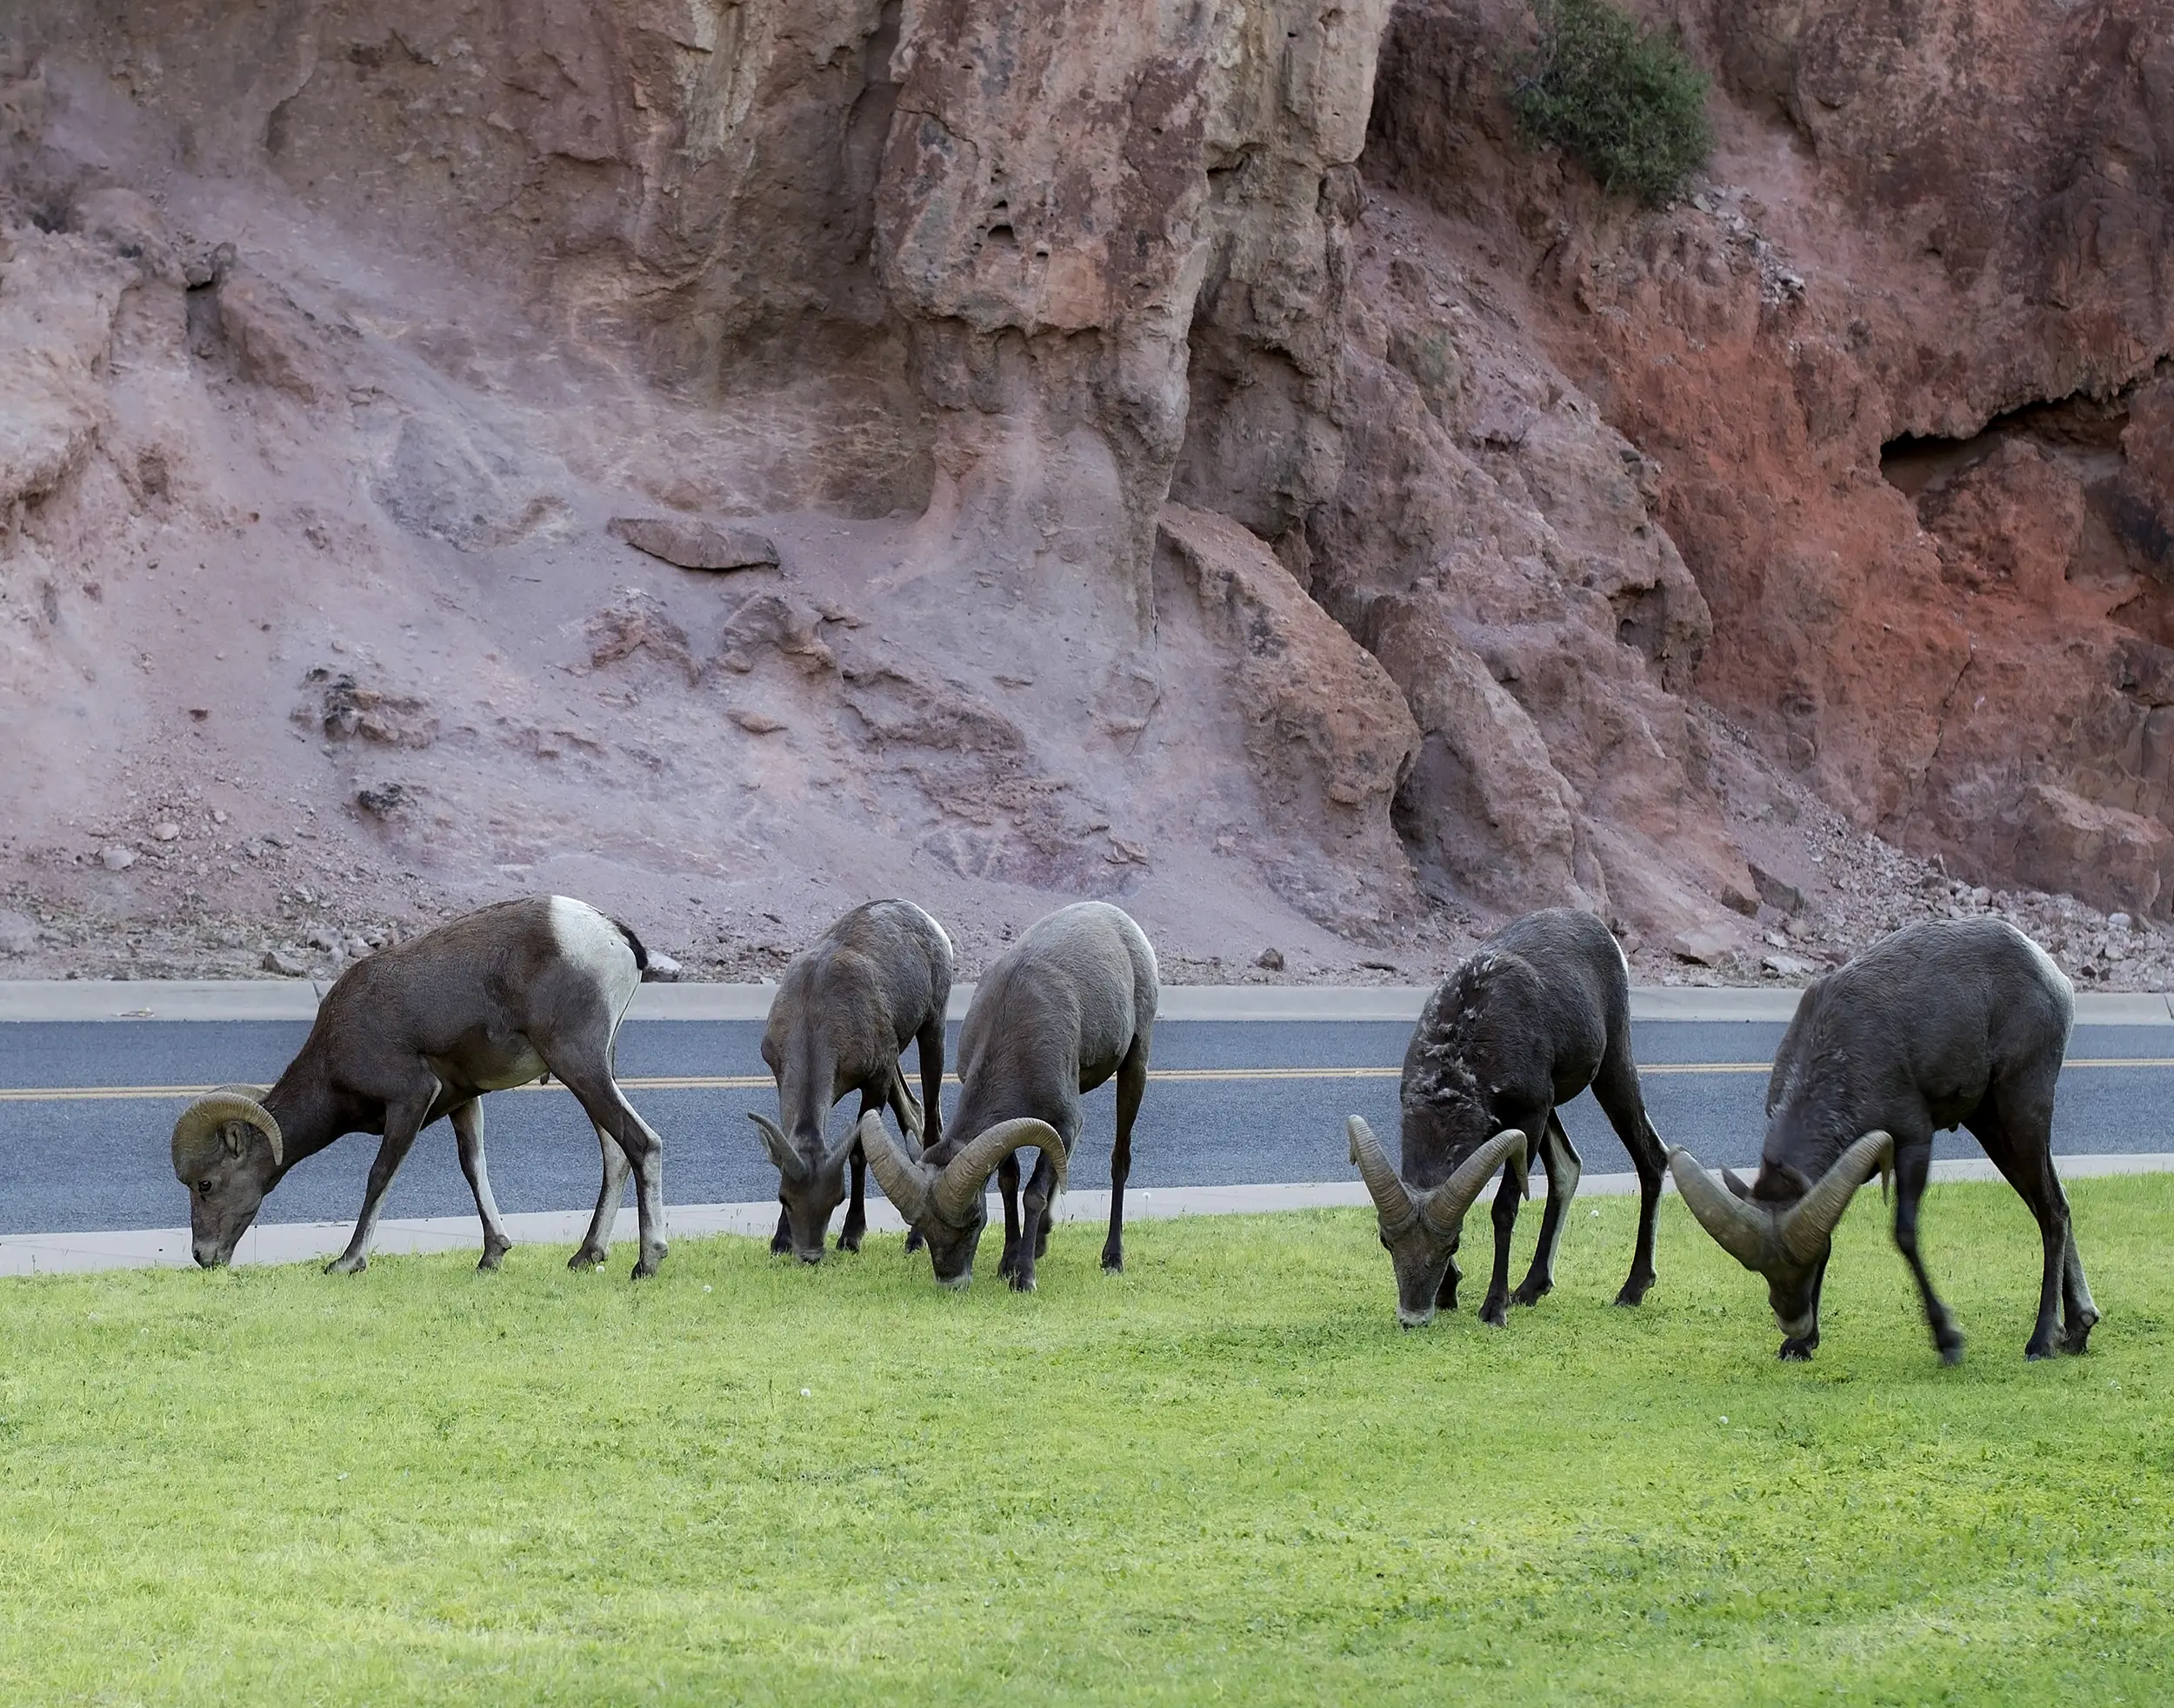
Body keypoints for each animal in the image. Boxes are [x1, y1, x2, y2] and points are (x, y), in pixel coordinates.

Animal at [169, 896, 670, 1279]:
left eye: (206, 1184)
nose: (203, 1256)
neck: (333, 1056)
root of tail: (612, 935)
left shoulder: (410, 1098)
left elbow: (379, 1176)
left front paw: (347, 1263)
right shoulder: (464, 1102)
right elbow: (473, 1169)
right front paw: (491, 1256)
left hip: (576, 1062)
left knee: (641, 1143)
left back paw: (646, 1263)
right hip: (595, 1066)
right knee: (614, 1154)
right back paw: (585, 1256)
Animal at [751, 899, 953, 1263]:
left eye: (838, 1198)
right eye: (784, 1198)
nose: (810, 1254)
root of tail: (931, 922)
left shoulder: (875, 1077)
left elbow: (860, 1153)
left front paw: (851, 1236)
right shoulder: (779, 1072)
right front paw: (779, 1241)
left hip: (932, 1025)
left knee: (932, 1125)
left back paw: (915, 1240)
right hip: (897, 1054)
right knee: (913, 1110)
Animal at [856, 900, 1156, 1292]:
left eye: (973, 1219)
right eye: (920, 1226)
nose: (951, 1282)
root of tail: (1121, 920)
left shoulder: (1065, 1122)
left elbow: (1034, 1192)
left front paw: (1024, 1276)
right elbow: (1009, 1181)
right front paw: (1007, 1264)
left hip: (1135, 1062)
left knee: (1120, 1159)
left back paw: (1112, 1259)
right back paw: (1042, 1241)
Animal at [1346, 908, 1670, 1328]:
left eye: (1454, 1243)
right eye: (1386, 1240)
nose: (1414, 1316)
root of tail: (1601, 931)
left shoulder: (1528, 1117)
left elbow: (1505, 1208)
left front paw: (1493, 1309)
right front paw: (1450, 1294)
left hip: (1611, 1069)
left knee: (1650, 1157)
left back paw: (1632, 1290)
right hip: (1555, 1109)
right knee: (1567, 1167)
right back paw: (1531, 1289)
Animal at [1668, 916, 2096, 1363]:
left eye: (1806, 1261)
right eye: (1763, 1270)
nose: (1793, 1321)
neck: (1838, 1057)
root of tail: (2052, 974)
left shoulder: (1913, 1142)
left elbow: (1905, 1234)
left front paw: (1948, 1340)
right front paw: (1801, 1345)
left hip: (2022, 1109)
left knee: (2053, 1211)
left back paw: (2042, 1341)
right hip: (1991, 1126)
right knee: (2047, 1203)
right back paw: (2078, 1329)